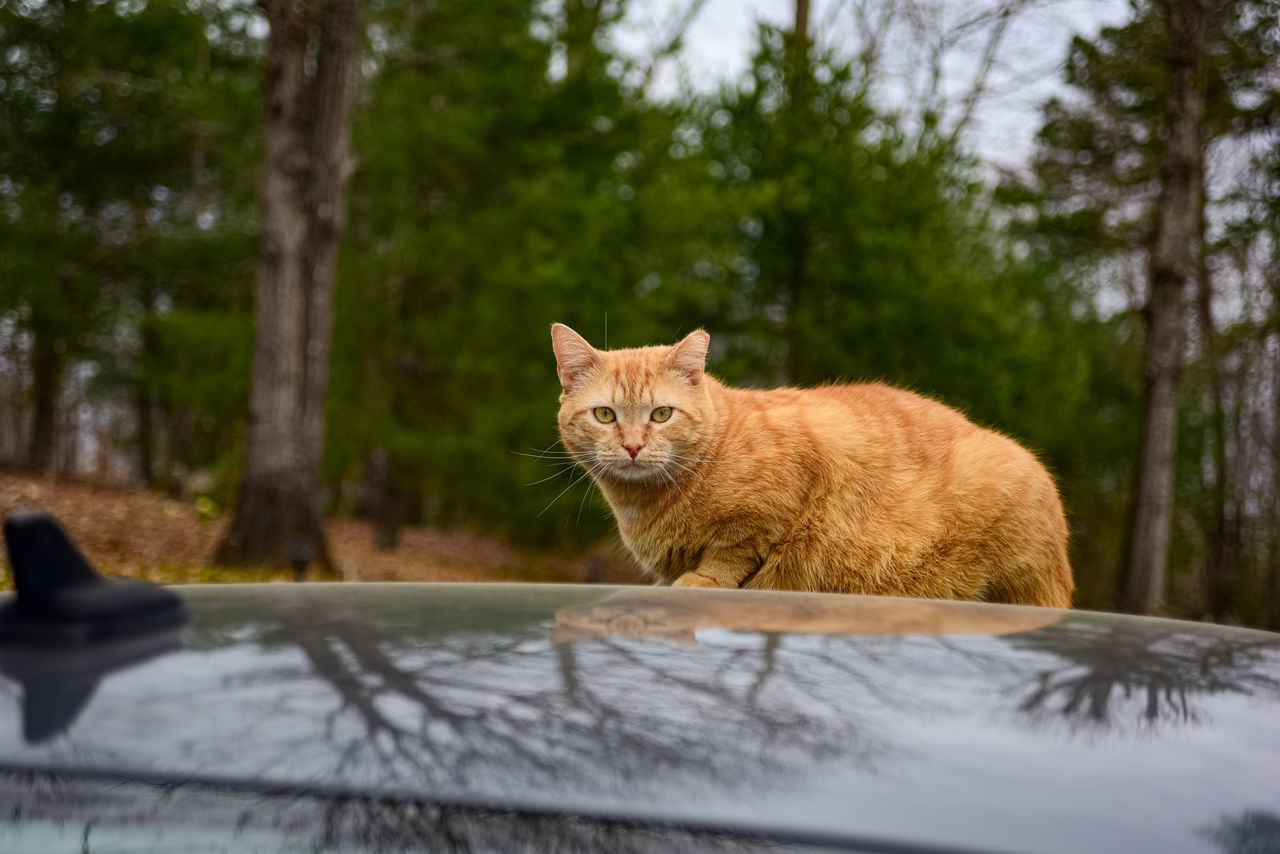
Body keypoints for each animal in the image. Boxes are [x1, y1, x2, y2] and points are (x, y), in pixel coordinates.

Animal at [550, 320, 1070, 606]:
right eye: (604, 415)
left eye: (661, 414)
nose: (633, 447)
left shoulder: (773, 505)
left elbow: (730, 553)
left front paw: (700, 580)